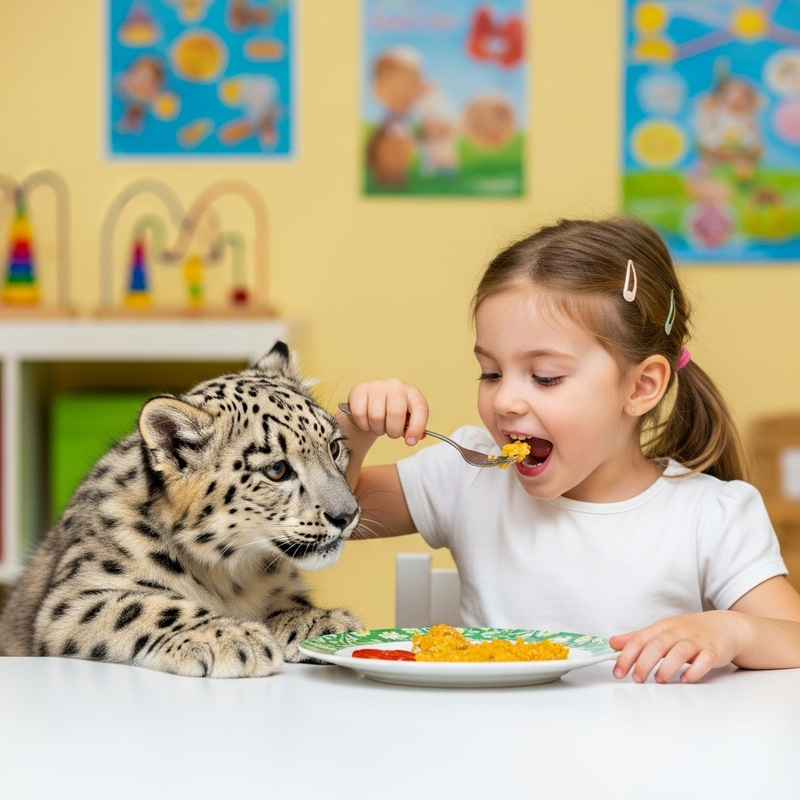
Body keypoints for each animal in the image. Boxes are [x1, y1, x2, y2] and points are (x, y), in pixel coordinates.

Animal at [0, 341, 362, 677]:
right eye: (276, 470)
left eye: (334, 447)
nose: (347, 515)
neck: (235, 577)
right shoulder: (74, 598)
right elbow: (146, 606)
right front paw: (232, 637)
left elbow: (285, 600)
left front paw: (321, 621)